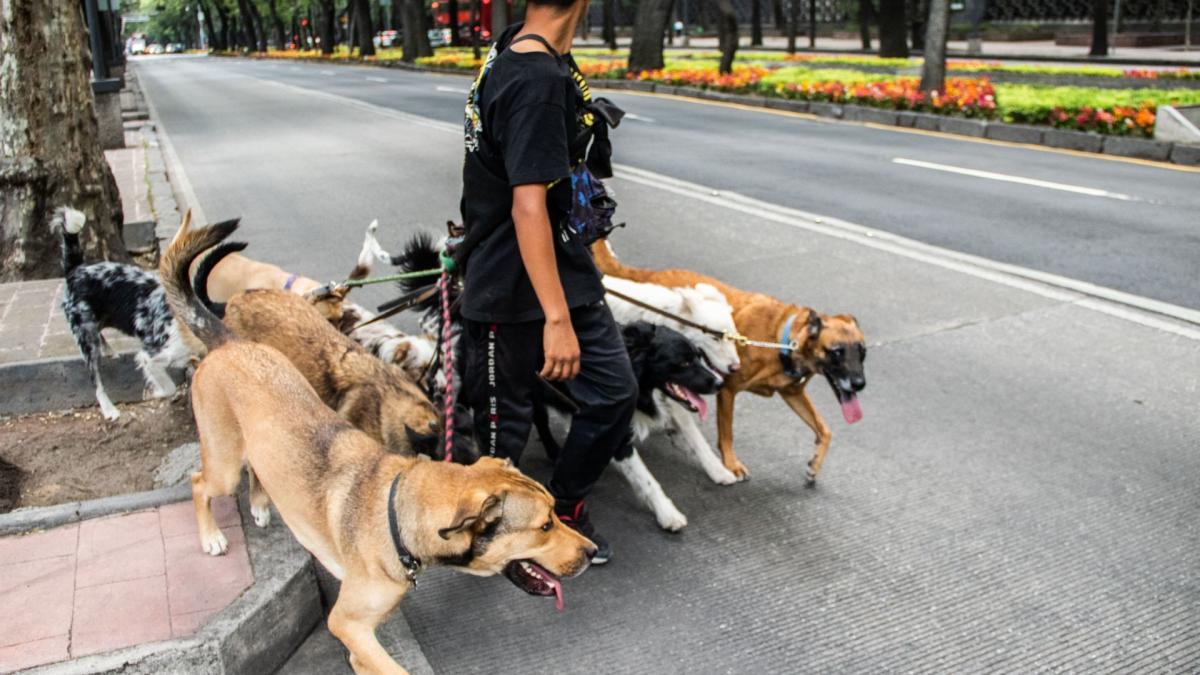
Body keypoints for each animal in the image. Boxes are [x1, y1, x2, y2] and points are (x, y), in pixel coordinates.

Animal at [52, 205, 189, 417]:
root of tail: (76, 269)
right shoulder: (152, 355)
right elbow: (168, 387)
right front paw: (153, 393)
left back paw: (110, 351)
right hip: (86, 337)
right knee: (97, 383)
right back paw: (110, 410)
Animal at [535, 319, 720, 530]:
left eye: (699, 356)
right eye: (684, 362)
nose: (719, 383)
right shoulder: (615, 431)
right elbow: (646, 478)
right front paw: (667, 513)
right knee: (539, 418)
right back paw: (553, 451)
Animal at [590, 239, 864, 480]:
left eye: (862, 352)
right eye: (837, 352)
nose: (860, 384)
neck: (782, 339)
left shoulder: (793, 393)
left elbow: (825, 430)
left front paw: (815, 464)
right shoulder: (727, 389)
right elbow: (725, 432)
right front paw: (729, 466)